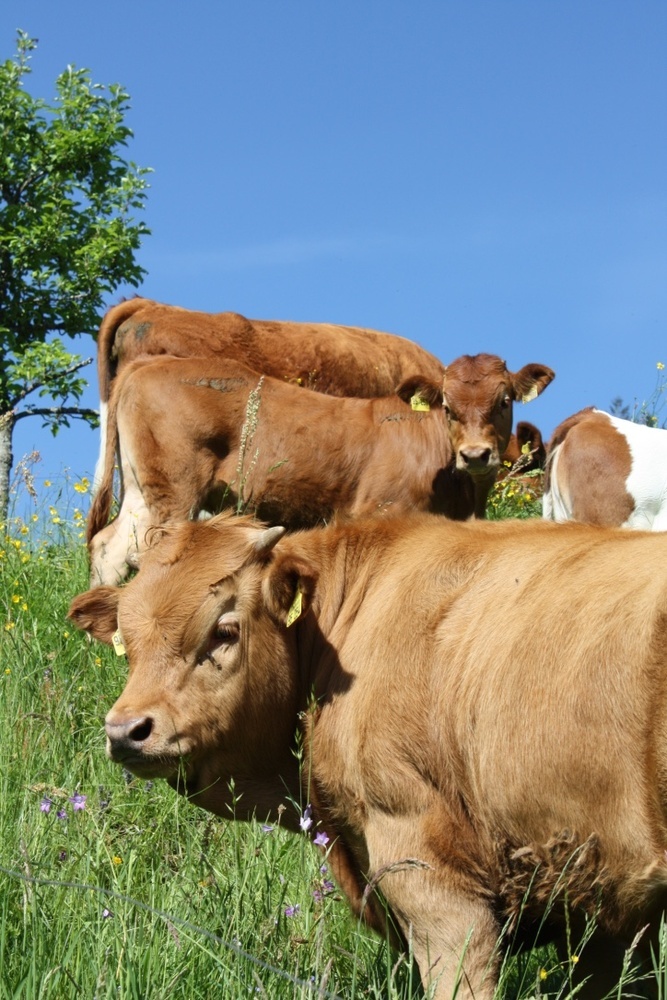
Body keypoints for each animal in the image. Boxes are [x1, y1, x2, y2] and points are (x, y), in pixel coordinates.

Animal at [87, 352, 554, 585]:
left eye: (504, 400)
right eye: (448, 407)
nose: (475, 455)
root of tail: (150, 361)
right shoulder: (377, 511)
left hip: (143, 489)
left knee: (110, 546)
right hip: (175, 488)